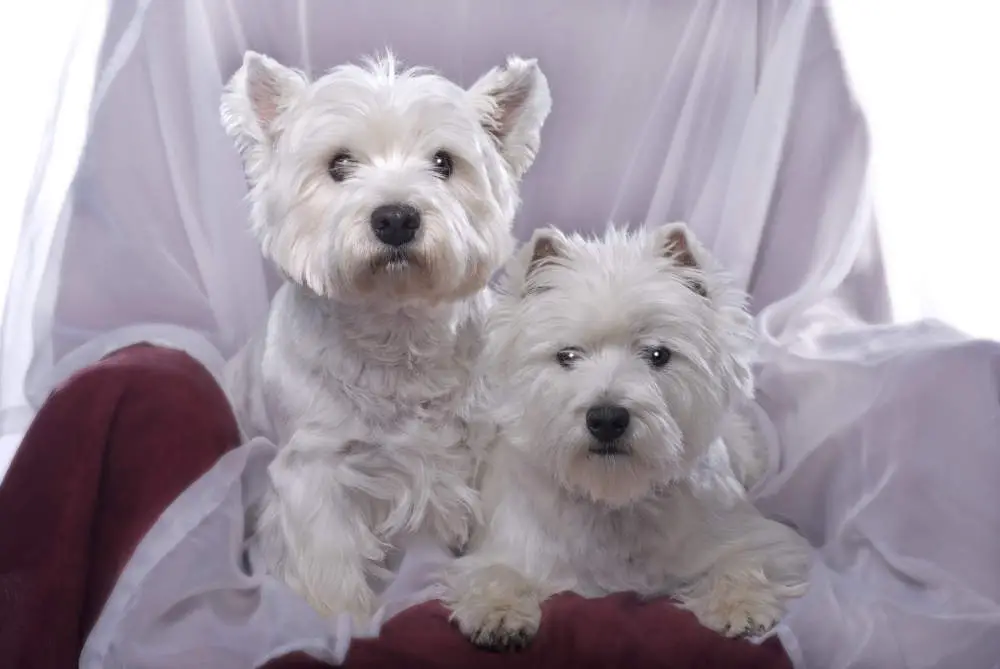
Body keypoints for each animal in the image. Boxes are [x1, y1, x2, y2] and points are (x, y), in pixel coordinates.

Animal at [217, 48, 556, 620]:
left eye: (443, 163)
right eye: (339, 165)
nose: (396, 218)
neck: (397, 337)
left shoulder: (487, 451)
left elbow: (503, 531)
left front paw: (496, 599)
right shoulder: (314, 471)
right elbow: (327, 563)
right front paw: (340, 622)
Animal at [446, 223, 812, 648]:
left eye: (658, 354)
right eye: (567, 356)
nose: (606, 419)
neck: (616, 498)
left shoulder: (754, 536)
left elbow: (744, 561)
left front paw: (742, 606)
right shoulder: (507, 547)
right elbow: (495, 573)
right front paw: (499, 614)